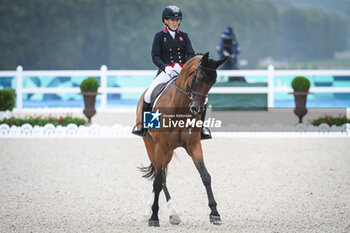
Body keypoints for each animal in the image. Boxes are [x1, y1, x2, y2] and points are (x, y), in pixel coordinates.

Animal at [134, 52, 227, 226]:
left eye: (213, 81)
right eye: (198, 77)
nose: (197, 109)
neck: (180, 107)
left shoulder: (194, 146)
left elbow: (206, 176)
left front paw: (215, 214)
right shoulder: (160, 147)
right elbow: (158, 181)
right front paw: (154, 217)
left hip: (168, 152)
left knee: (162, 173)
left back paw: (166, 212)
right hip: (151, 146)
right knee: (160, 177)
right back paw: (168, 212)